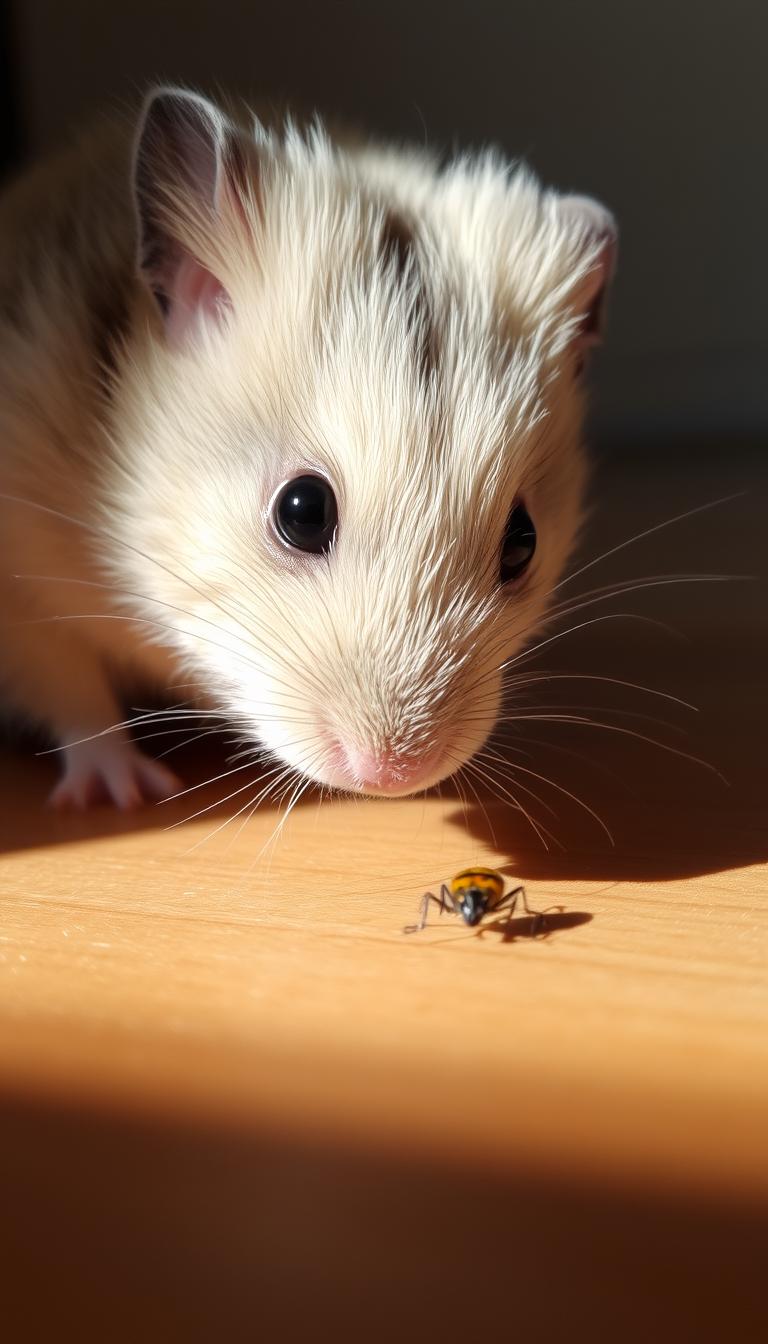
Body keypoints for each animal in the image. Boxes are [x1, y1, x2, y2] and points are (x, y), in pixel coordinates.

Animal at [0, 88, 616, 808]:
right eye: (302, 511)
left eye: (523, 543)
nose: (394, 774)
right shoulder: (24, 599)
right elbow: (74, 692)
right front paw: (127, 795)